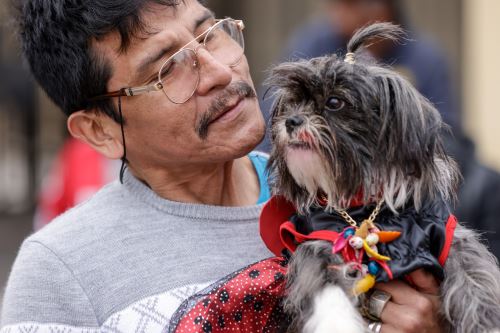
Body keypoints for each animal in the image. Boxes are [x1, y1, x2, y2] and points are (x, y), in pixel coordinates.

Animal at [266, 22, 500, 330]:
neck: (362, 203)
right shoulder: (317, 246)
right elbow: (324, 288)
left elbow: (476, 281)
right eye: (292, 103)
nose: (291, 121)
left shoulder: (451, 239)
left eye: (334, 101)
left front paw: (490, 322)